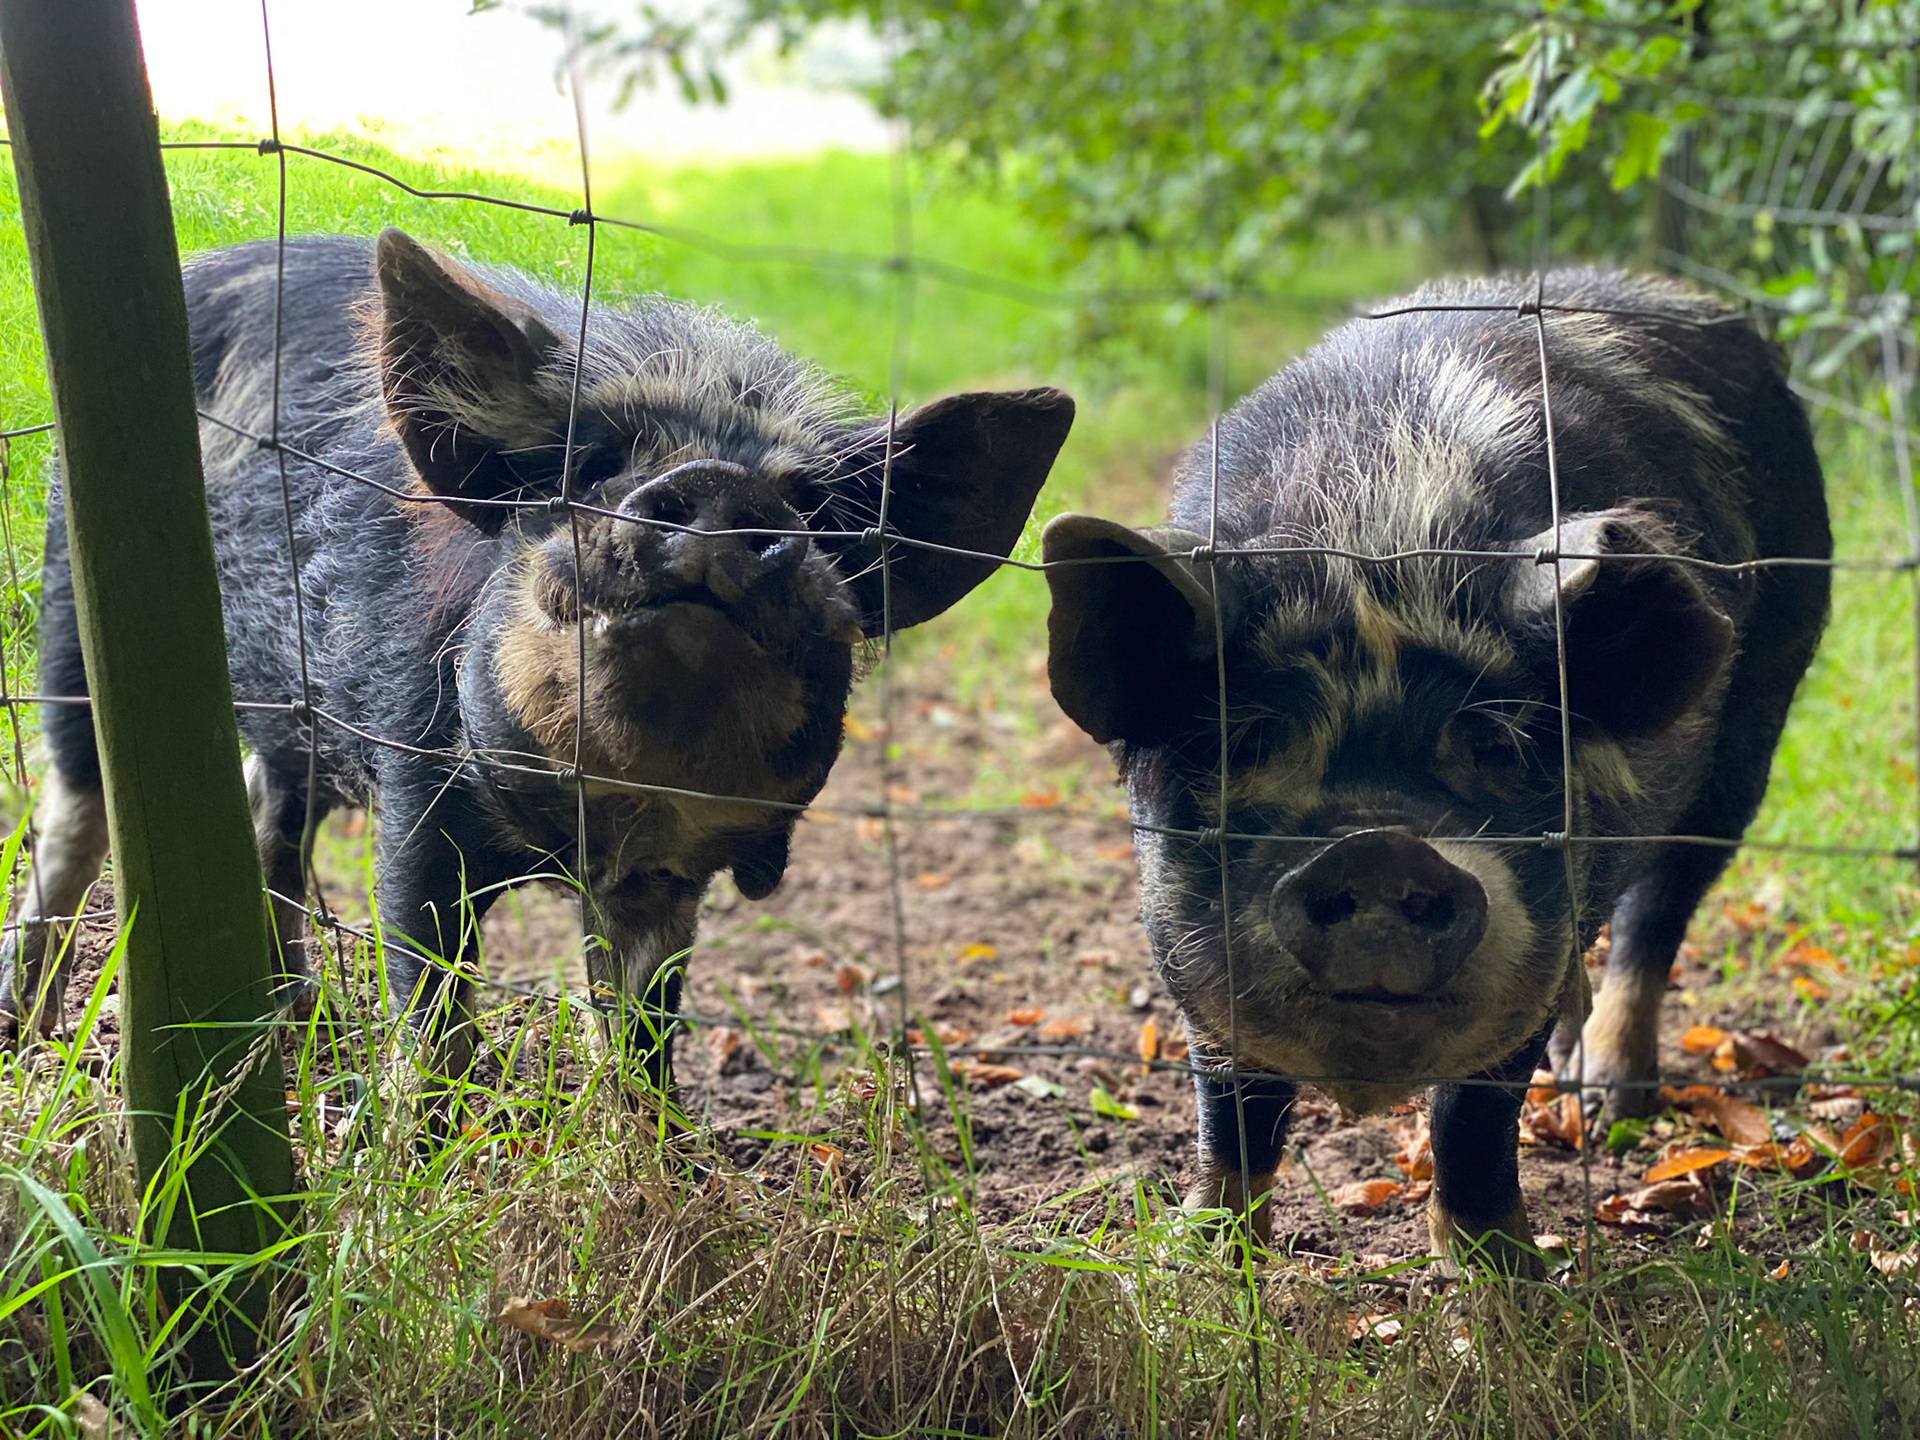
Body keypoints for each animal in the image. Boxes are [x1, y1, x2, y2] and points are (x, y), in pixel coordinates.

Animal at [1, 228, 1073, 1097]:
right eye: (589, 468)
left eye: (818, 511)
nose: (718, 485)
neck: (591, 829)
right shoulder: (417, 781)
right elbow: (431, 1001)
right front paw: (423, 1152)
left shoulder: (664, 880)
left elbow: (643, 1035)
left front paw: (661, 1169)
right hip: (69, 603)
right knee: (73, 811)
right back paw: (33, 1034)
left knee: (270, 804)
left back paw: (295, 1018)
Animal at [1042, 270, 1827, 1272]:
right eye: (1242, 741)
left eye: (1495, 744)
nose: (1378, 847)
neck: (1378, 533)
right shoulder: (1180, 937)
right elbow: (1231, 1105)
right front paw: (1206, 1260)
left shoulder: (1537, 926)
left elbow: (1476, 1111)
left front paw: (1507, 1276)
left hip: (1757, 723)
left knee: (1657, 911)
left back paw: (1608, 1098)